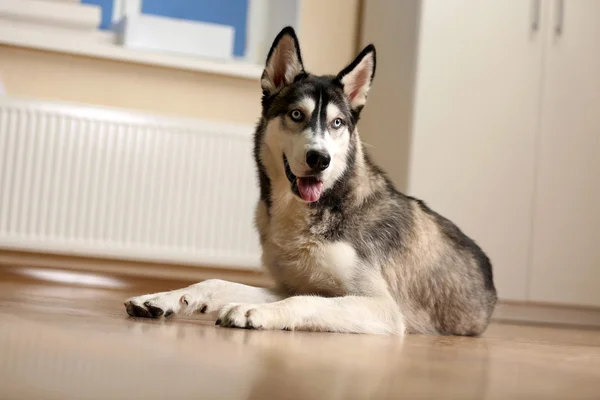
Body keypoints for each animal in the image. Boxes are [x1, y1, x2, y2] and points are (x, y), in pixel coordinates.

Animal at [123, 26, 496, 336]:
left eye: (337, 123)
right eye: (296, 114)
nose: (320, 159)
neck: (312, 211)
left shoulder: (383, 308)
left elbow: (305, 301)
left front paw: (254, 310)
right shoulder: (290, 283)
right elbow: (215, 281)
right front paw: (163, 298)